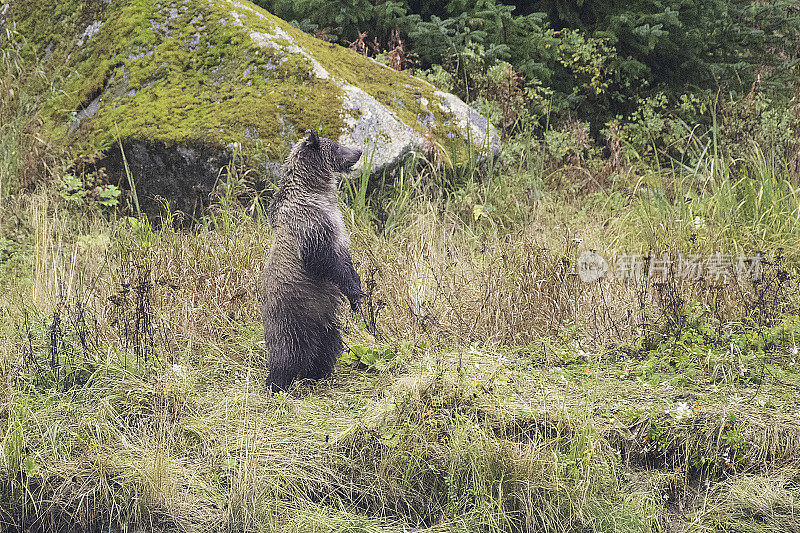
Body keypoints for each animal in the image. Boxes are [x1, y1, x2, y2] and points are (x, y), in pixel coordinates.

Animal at [260, 131, 364, 392]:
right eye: (337, 146)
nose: (358, 151)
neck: (316, 192)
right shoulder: (311, 228)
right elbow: (326, 262)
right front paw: (355, 293)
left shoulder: (337, 227)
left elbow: (346, 260)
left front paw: (358, 294)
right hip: (292, 312)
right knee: (287, 350)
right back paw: (277, 382)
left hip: (324, 317)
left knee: (328, 343)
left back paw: (318, 373)